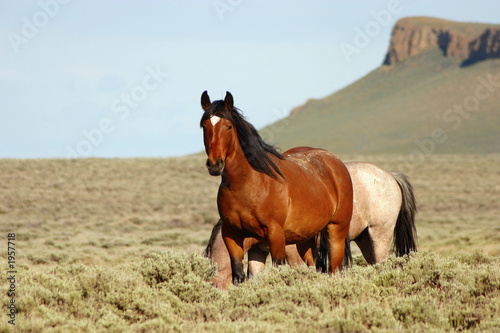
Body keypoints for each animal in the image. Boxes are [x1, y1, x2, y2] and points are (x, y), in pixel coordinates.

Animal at [201, 91, 354, 286]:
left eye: (228, 126)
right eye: (204, 126)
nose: (215, 164)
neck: (248, 185)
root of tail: (334, 161)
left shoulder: (276, 236)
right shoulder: (233, 236)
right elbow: (240, 276)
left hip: (336, 231)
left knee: (334, 269)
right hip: (305, 239)